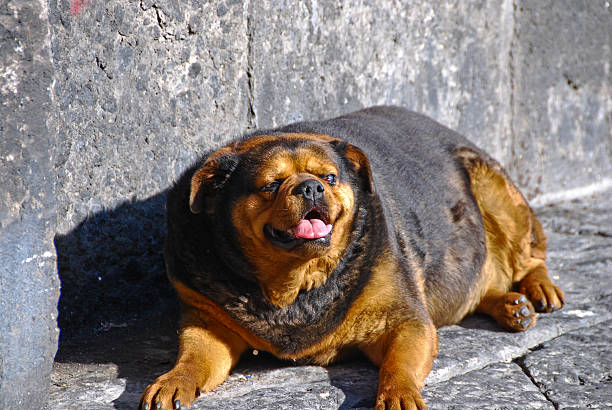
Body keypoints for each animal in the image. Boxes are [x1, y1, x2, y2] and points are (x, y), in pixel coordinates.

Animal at [139, 106, 564, 410]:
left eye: (329, 177)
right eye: (271, 185)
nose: (310, 187)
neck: (295, 285)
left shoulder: (404, 320)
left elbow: (400, 362)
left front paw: (399, 394)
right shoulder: (208, 321)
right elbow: (195, 356)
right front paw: (173, 380)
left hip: (495, 188)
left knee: (527, 256)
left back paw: (538, 289)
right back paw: (509, 305)